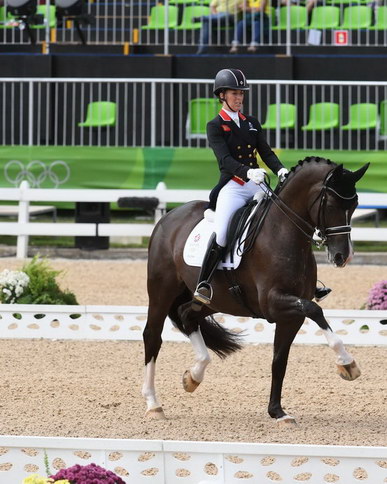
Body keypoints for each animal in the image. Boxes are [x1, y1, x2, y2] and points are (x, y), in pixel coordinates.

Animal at [142, 156, 370, 424]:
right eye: (332, 204)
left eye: (355, 204)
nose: (343, 256)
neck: (283, 231)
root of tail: (169, 217)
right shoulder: (273, 303)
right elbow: (315, 310)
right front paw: (348, 364)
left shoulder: (290, 315)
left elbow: (279, 360)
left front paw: (278, 412)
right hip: (162, 290)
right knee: (153, 336)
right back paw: (153, 404)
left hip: (214, 300)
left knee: (187, 315)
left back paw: (193, 376)